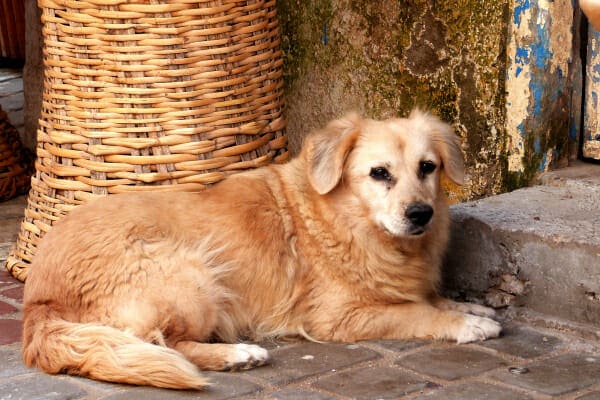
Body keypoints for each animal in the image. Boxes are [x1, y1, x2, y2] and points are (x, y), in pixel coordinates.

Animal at [21, 109, 502, 388]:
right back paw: (237, 354)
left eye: (428, 167)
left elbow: (431, 298)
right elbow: (415, 312)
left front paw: (469, 307)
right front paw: (465, 323)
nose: (421, 214)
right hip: (192, 271)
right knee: (167, 344)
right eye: (379, 173)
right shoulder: (338, 318)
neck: (349, 222)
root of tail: (36, 301)